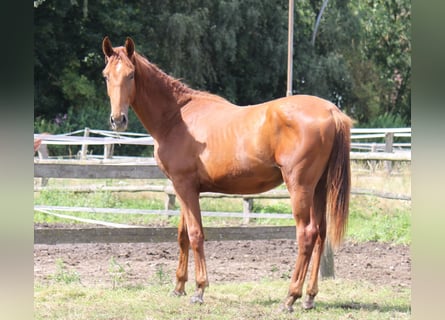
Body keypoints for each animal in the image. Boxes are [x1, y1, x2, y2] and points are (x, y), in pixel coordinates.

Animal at [100, 36, 350, 312]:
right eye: (106, 76)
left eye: (131, 75)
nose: (118, 120)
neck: (177, 117)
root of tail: (331, 111)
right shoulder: (182, 188)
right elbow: (182, 235)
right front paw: (178, 287)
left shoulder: (185, 186)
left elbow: (196, 235)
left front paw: (199, 289)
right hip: (319, 188)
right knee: (321, 233)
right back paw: (309, 297)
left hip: (300, 187)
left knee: (306, 235)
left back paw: (290, 297)